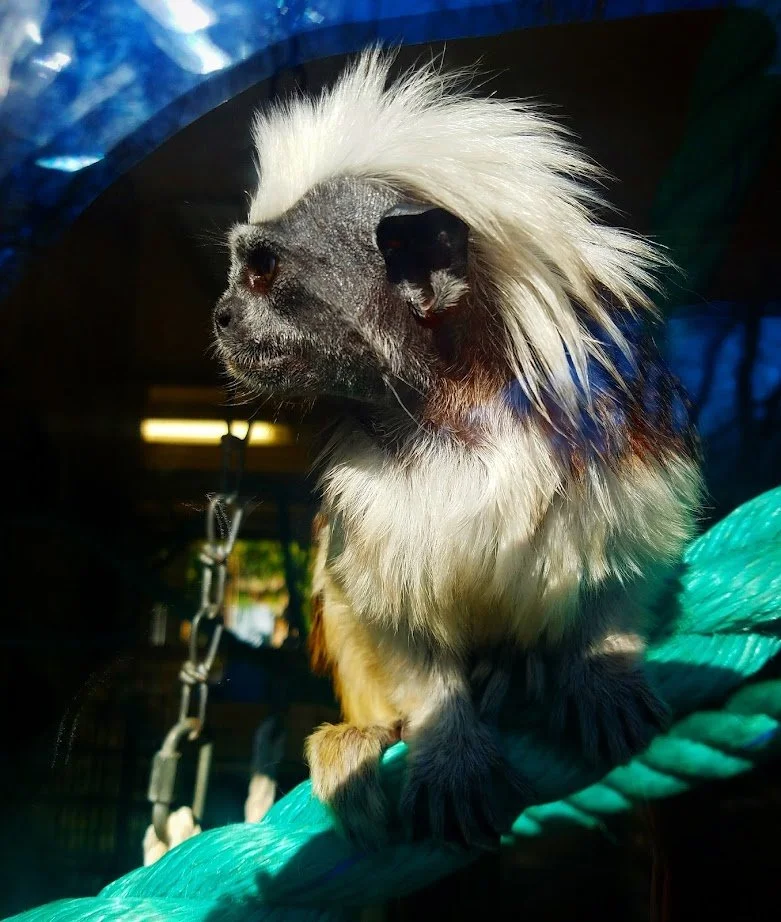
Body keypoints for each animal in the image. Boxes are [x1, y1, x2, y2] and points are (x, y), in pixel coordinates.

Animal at [213, 50, 703, 850]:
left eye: (262, 272)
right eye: (239, 276)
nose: (222, 314)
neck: (452, 411)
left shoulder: (617, 435)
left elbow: (630, 564)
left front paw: (601, 670)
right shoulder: (369, 498)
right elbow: (394, 624)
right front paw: (447, 748)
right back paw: (362, 739)